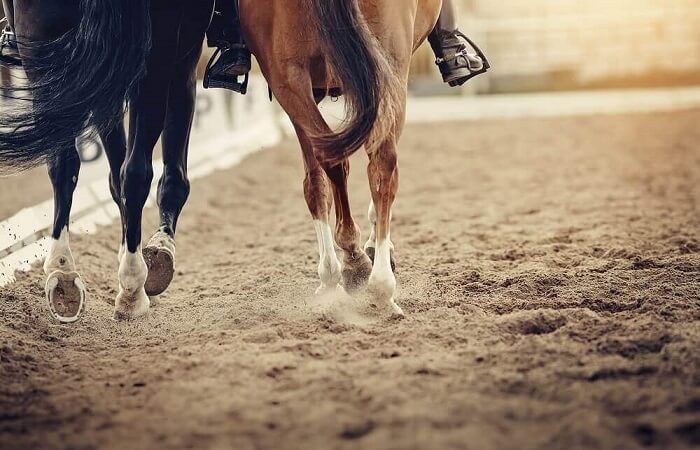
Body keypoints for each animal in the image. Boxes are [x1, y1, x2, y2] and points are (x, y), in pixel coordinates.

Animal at [0, 0, 216, 324]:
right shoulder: (181, 56)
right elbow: (157, 175)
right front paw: (155, 252)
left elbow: (118, 176)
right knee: (133, 171)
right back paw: (128, 287)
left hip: (41, 39)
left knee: (69, 164)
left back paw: (68, 275)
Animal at [243, 0, 440, 314]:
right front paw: (367, 250)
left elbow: (317, 179)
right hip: (387, 63)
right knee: (379, 161)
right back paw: (373, 279)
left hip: (291, 77)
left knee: (345, 162)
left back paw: (360, 271)